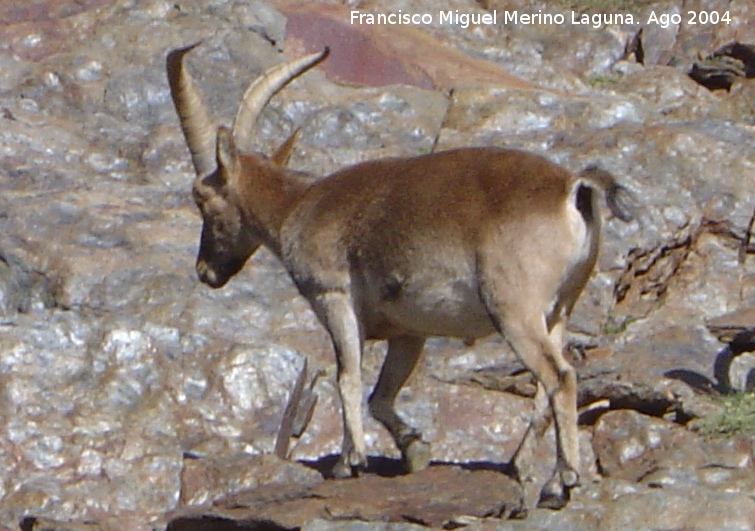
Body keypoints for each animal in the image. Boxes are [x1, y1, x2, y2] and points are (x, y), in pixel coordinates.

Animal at [168, 43, 636, 510]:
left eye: (202, 198)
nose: (205, 271)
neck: (297, 208)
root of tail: (572, 189)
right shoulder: (409, 332)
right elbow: (381, 396)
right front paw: (415, 449)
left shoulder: (334, 296)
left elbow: (347, 376)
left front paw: (349, 461)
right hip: (559, 310)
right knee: (547, 387)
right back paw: (531, 473)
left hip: (515, 310)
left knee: (560, 377)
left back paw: (564, 480)